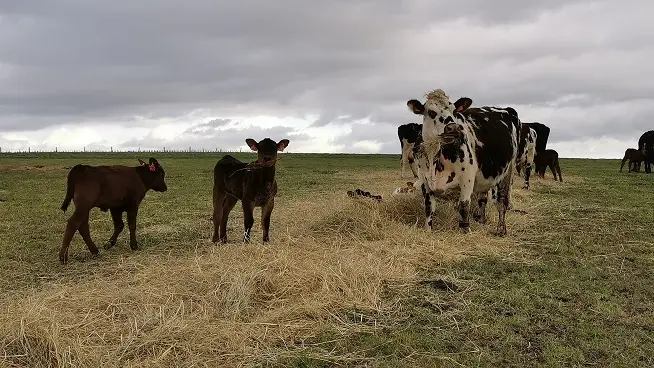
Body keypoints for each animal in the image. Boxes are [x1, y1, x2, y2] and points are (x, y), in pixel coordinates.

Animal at [404, 89, 524, 236]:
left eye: (454, 111)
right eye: (431, 112)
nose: (453, 128)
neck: (435, 157)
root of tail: (506, 109)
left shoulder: (467, 177)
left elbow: (464, 206)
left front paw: (466, 230)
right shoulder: (424, 180)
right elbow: (429, 207)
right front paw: (428, 229)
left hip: (508, 170)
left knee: (502, 200)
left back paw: (501, 229)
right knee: (482, 199)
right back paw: (482, 220)